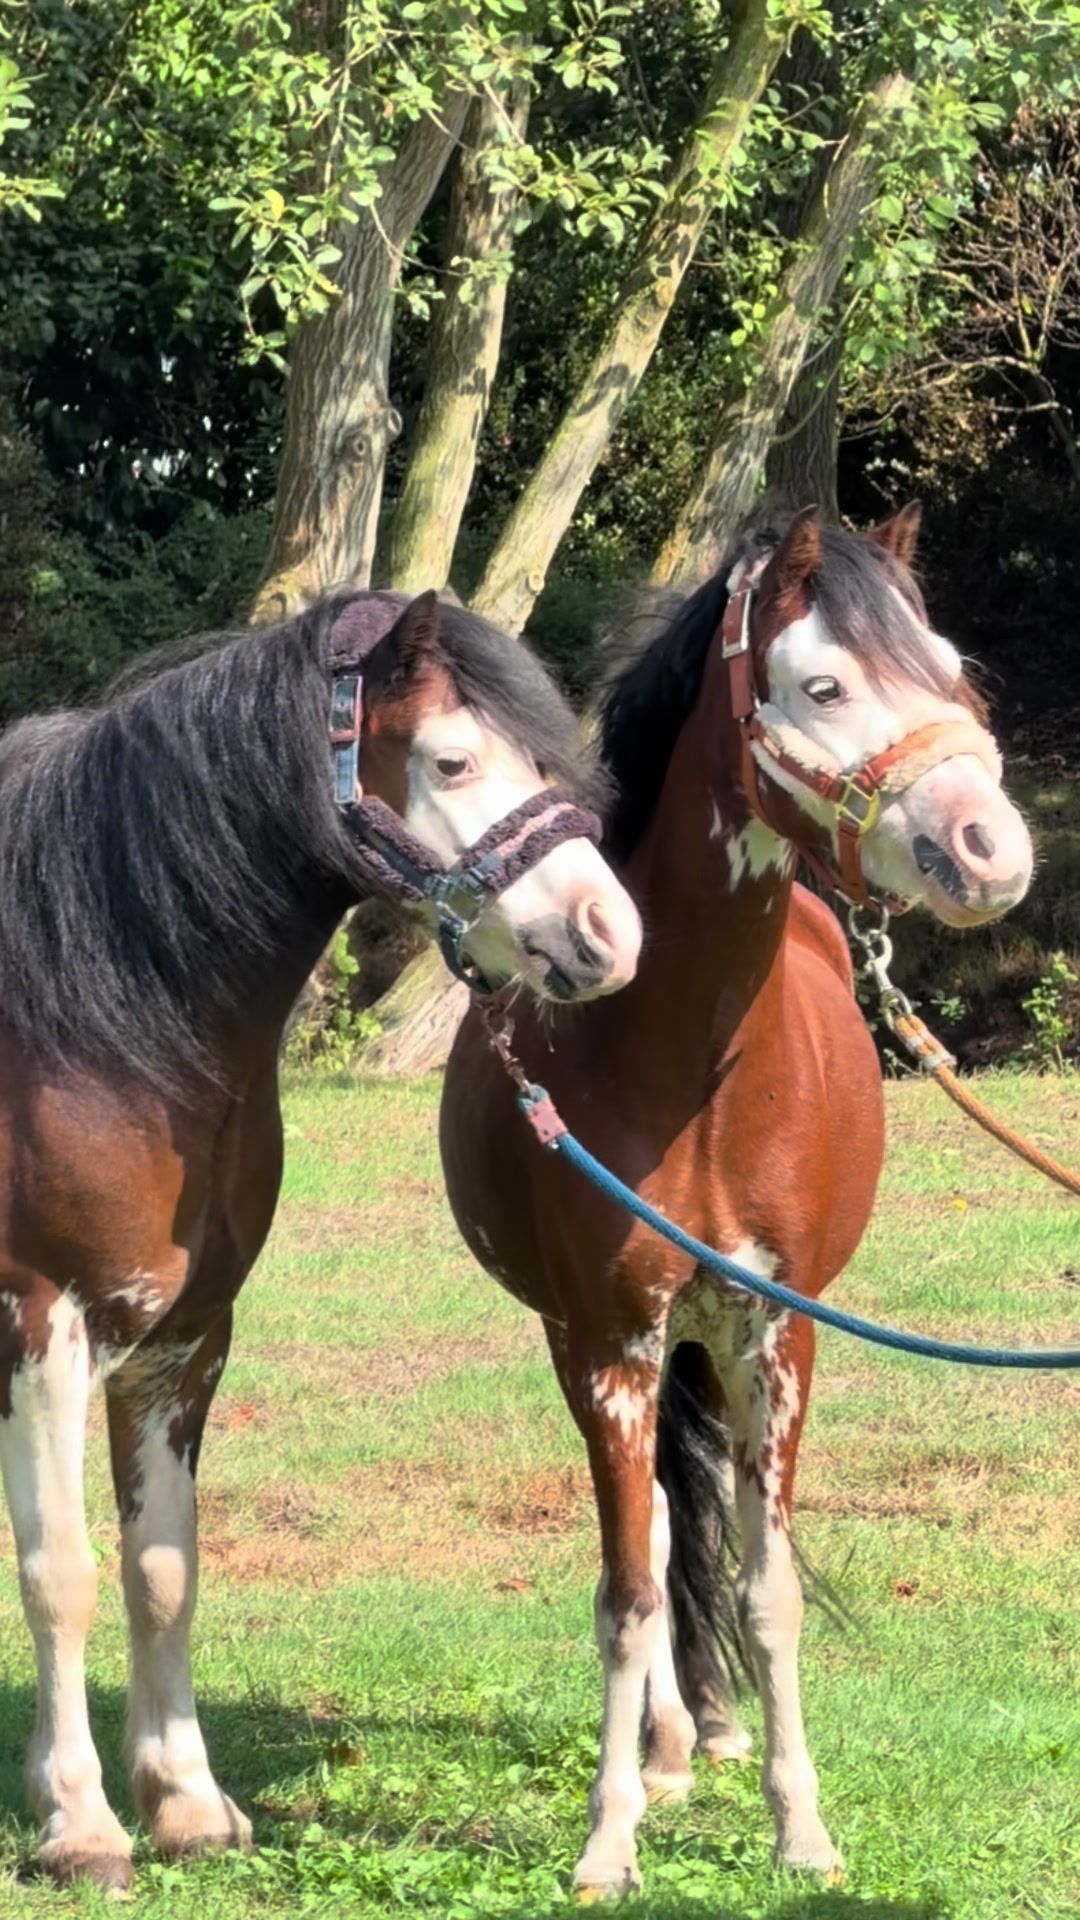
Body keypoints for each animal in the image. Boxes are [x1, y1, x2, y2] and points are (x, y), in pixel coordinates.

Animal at [0, 587, 642, 1893]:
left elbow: (160, 1569)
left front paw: (186, 1804)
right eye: (452, 760)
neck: (92, 1025)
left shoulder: (183, 1341)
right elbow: (62, 1575)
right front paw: (82, 1825)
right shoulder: (45, 1326)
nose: (609, 933)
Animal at [440, 507, 1034, 1896]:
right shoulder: (609, 1338)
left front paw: (800, 1827)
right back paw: (666, 1750)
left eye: (952, 668)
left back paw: (706, 1734)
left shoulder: (779, 1334)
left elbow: (767, 1588)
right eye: (823, 686)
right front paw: (609, 1839)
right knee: (660, 1527)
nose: (994, 851)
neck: (688, 1063)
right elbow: (628, 1589)